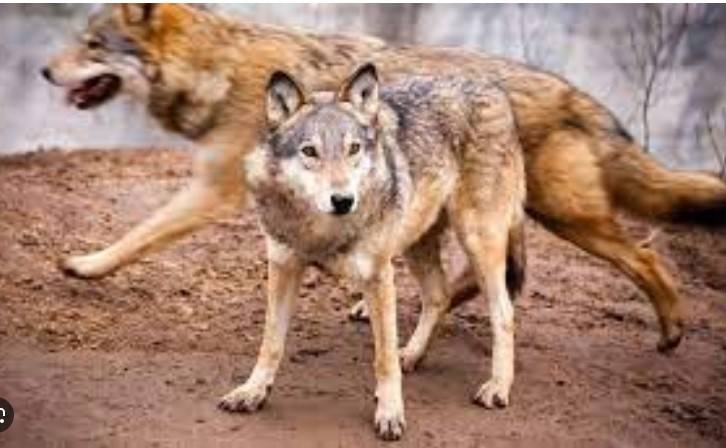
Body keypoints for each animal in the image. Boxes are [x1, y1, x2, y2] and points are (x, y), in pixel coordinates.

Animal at [42, 5, 725, 357]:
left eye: (92, 43)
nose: (46, 71)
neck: (222, 66)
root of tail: (579, 94)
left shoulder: (213, 190)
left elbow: (139, 235)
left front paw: (86, 265)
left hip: (562, 217)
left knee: (641, 258)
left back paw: (672, 333)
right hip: (497, 218)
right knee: (493, 278)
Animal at [223, 63, 526, 440]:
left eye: (353, 148)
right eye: (310, 151)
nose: (343, 200)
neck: (321, 229)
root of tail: (491, 87)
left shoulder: (378, 276)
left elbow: (383, 359)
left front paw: (390, 412)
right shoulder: (282, 266)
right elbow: (270, 342)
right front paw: (252, 391)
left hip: (477, 240)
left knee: (504, 312)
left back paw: (497, 387)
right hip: (416, 243)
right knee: (439, 296)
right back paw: (413, 354)